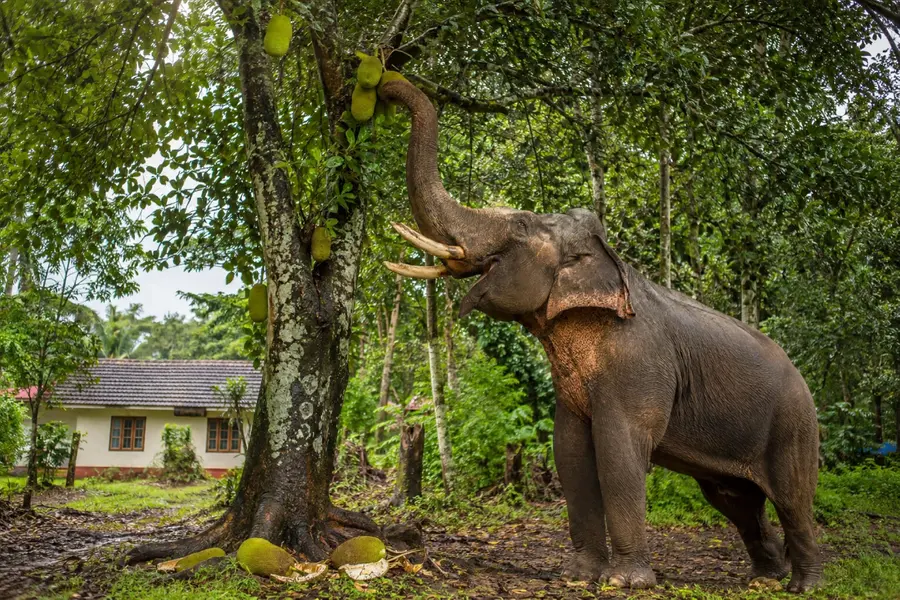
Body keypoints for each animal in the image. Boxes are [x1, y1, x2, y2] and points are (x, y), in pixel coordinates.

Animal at [378, 78, 822, 593]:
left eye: (520, 225)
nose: (386, 85)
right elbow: (570, 452)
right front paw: (578, 575)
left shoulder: (638, 362)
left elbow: (618, 451)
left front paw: (625, 582)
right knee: (736, 500)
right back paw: (765, 578)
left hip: (793, 424)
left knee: (793, 498)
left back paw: (804, 585)